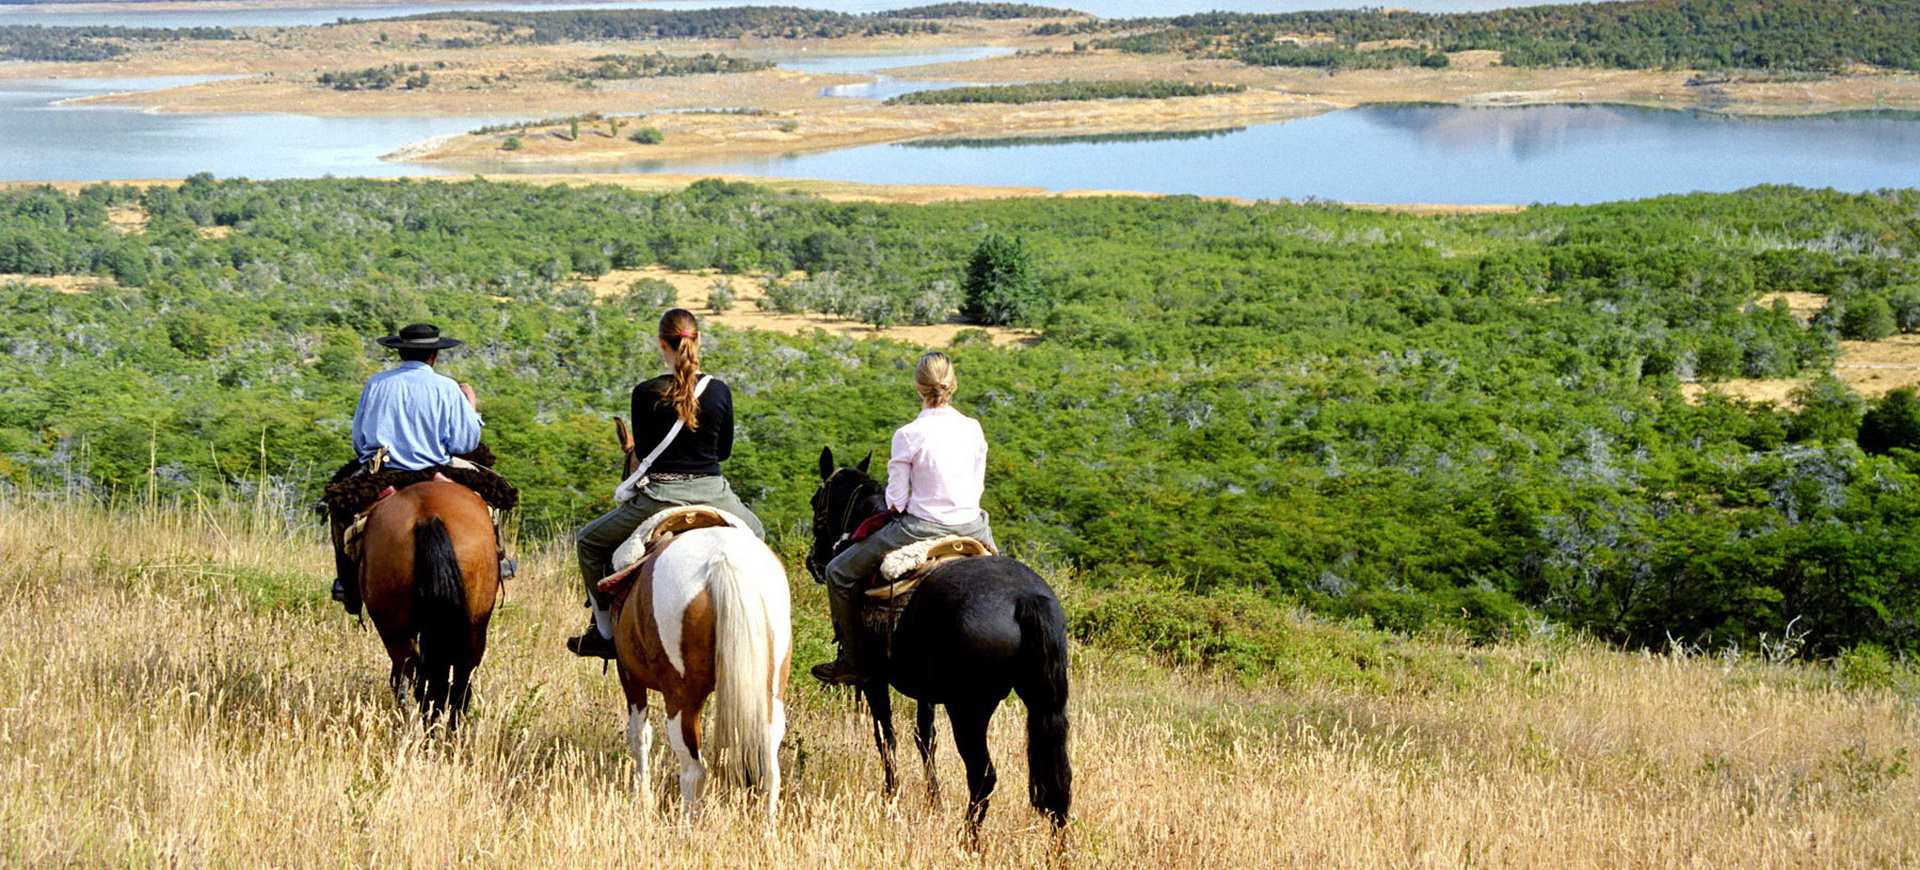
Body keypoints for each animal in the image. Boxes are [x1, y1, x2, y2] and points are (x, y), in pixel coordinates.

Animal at [806, 443, 1075, 837]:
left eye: (816, 501)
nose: (814, 561)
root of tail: (1024, 598)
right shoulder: (925, 690)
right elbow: (925, 736)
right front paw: (932, 800)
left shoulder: (874, 679)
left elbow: (886, 736)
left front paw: (891, 798)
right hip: (1041, 701)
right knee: (1058, 781)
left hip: (969, 707)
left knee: (982, 775)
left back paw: (968, 841)